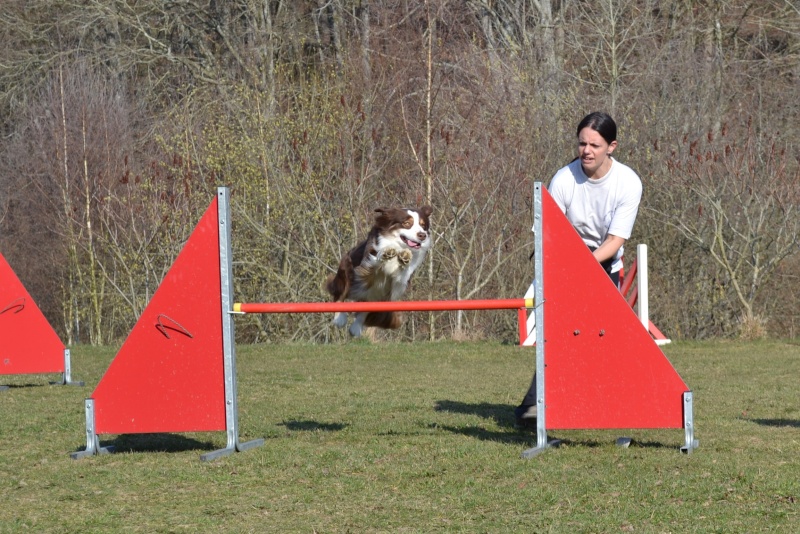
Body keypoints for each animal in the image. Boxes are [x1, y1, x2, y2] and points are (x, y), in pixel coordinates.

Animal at [326, 206, 434, 338]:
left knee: (365, 309)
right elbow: (376, 261)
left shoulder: (400, 283)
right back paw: (340, 319)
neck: (398, 246)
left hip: (379, 295)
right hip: (346, 270)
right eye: (407, 223)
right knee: (341, 294)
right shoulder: (365, 267)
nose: (422, 235)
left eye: (423, 226)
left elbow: (402, 272)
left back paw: (355, 328)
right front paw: (385, 253)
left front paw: (404, 257)